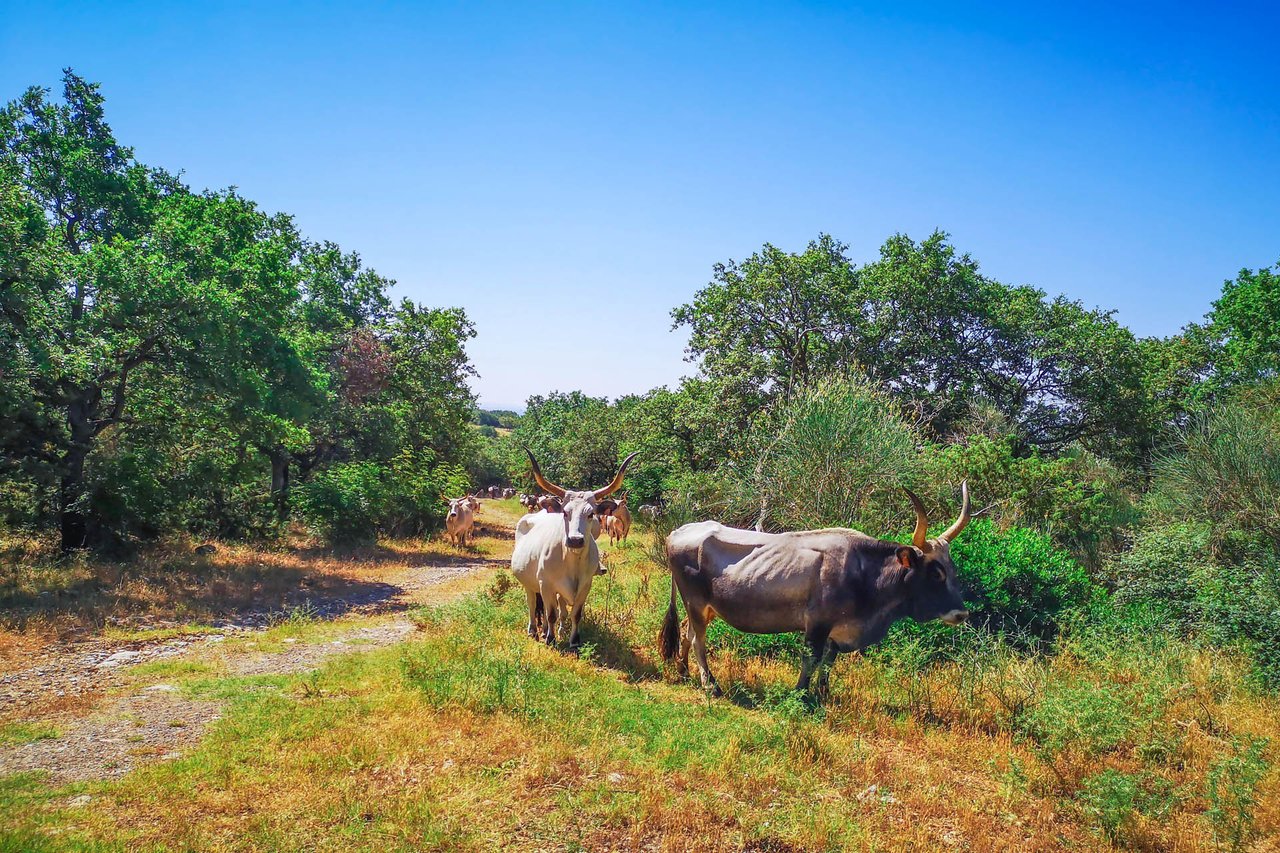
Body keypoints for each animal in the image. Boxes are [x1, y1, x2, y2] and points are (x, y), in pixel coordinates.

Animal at [504, 445, 634, 645]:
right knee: (533, 605)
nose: (575, 540)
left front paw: (573, 640)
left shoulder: (585, 587)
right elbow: (551, 614)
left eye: (591, 514)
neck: (571, 561)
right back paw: (534, 630)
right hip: (530, 584)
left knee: (555, 609)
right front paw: (550, 638)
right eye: (565, 512)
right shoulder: (546, 585)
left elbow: (575, 614)